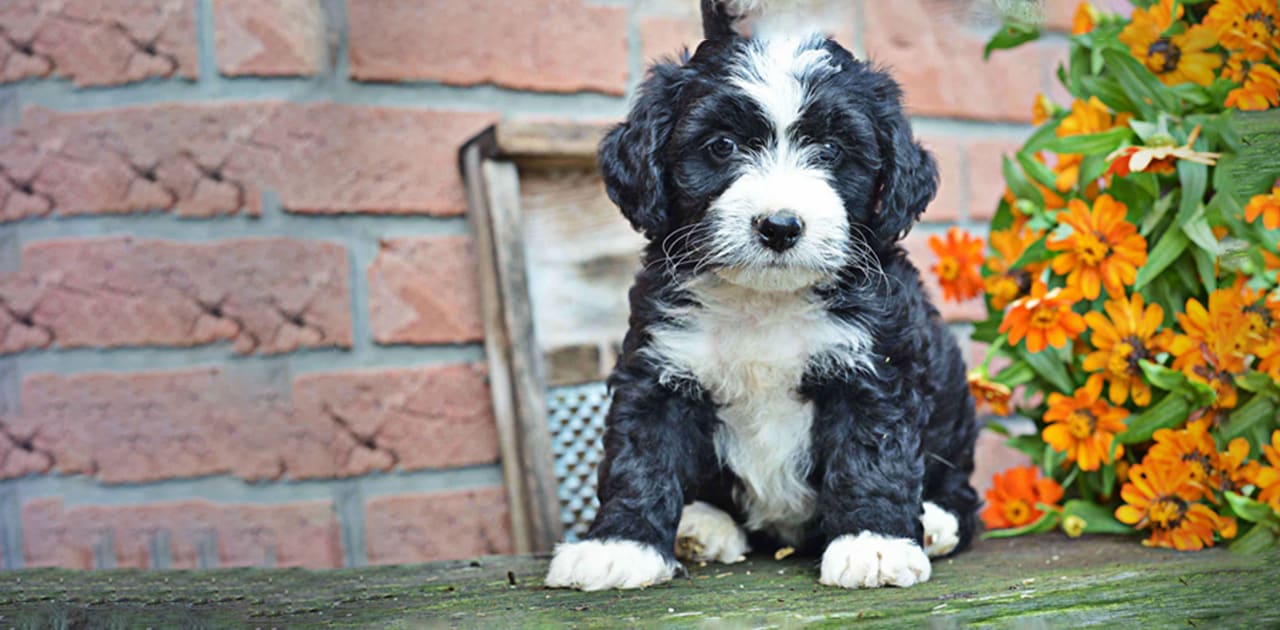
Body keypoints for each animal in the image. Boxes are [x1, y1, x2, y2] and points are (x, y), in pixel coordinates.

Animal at [545, 0, 972, 591]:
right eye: (722, 146)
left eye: (831, 150)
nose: (780, 226)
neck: (763, 301)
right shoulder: (658, 365)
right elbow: (640, 456)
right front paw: (619, 545)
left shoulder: (876, 365)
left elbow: (872, 453)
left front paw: (874, 543)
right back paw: (701, 524)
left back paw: (935, 522)